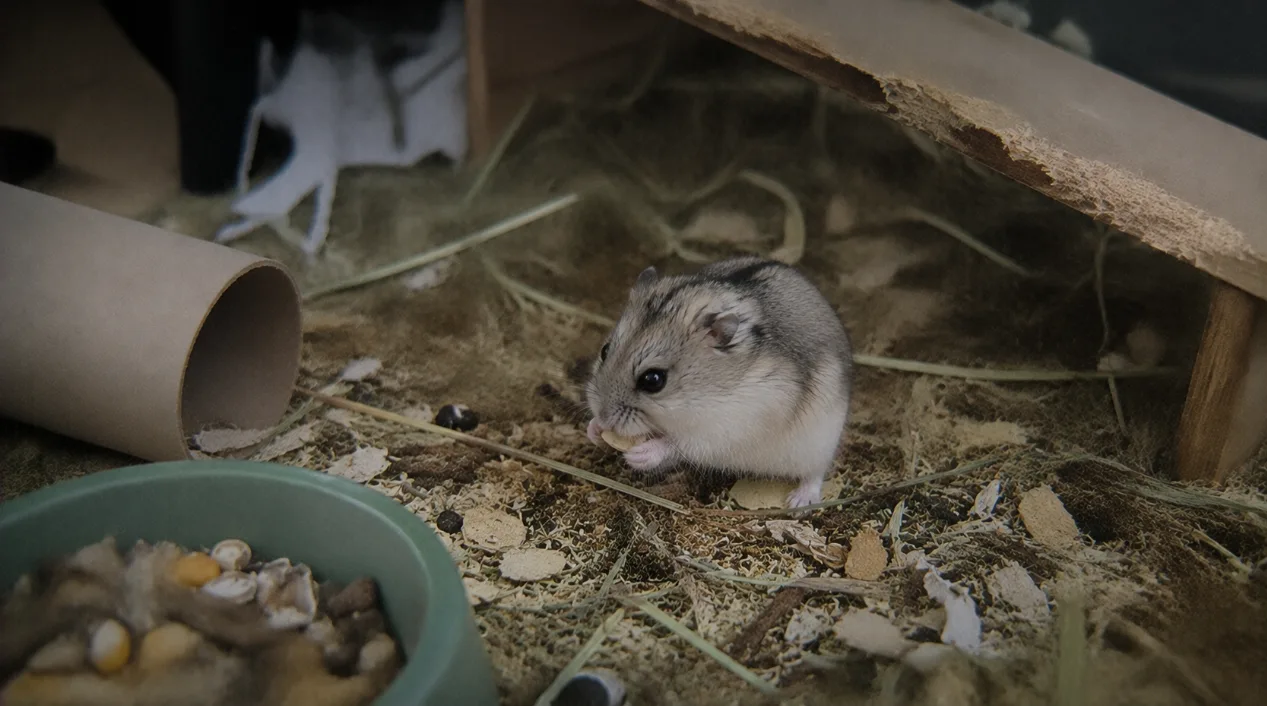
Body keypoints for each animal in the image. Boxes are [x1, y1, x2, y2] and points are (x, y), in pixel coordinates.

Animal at [585, 256, 853, 508]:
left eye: (653, 380)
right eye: (605, 351)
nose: (604, 418)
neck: (707, 390)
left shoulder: (727, 428)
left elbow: (677, 443)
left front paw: (639, 453)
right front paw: (594, 430)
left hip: (819, 444)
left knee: (815, 474)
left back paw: (800, 502)